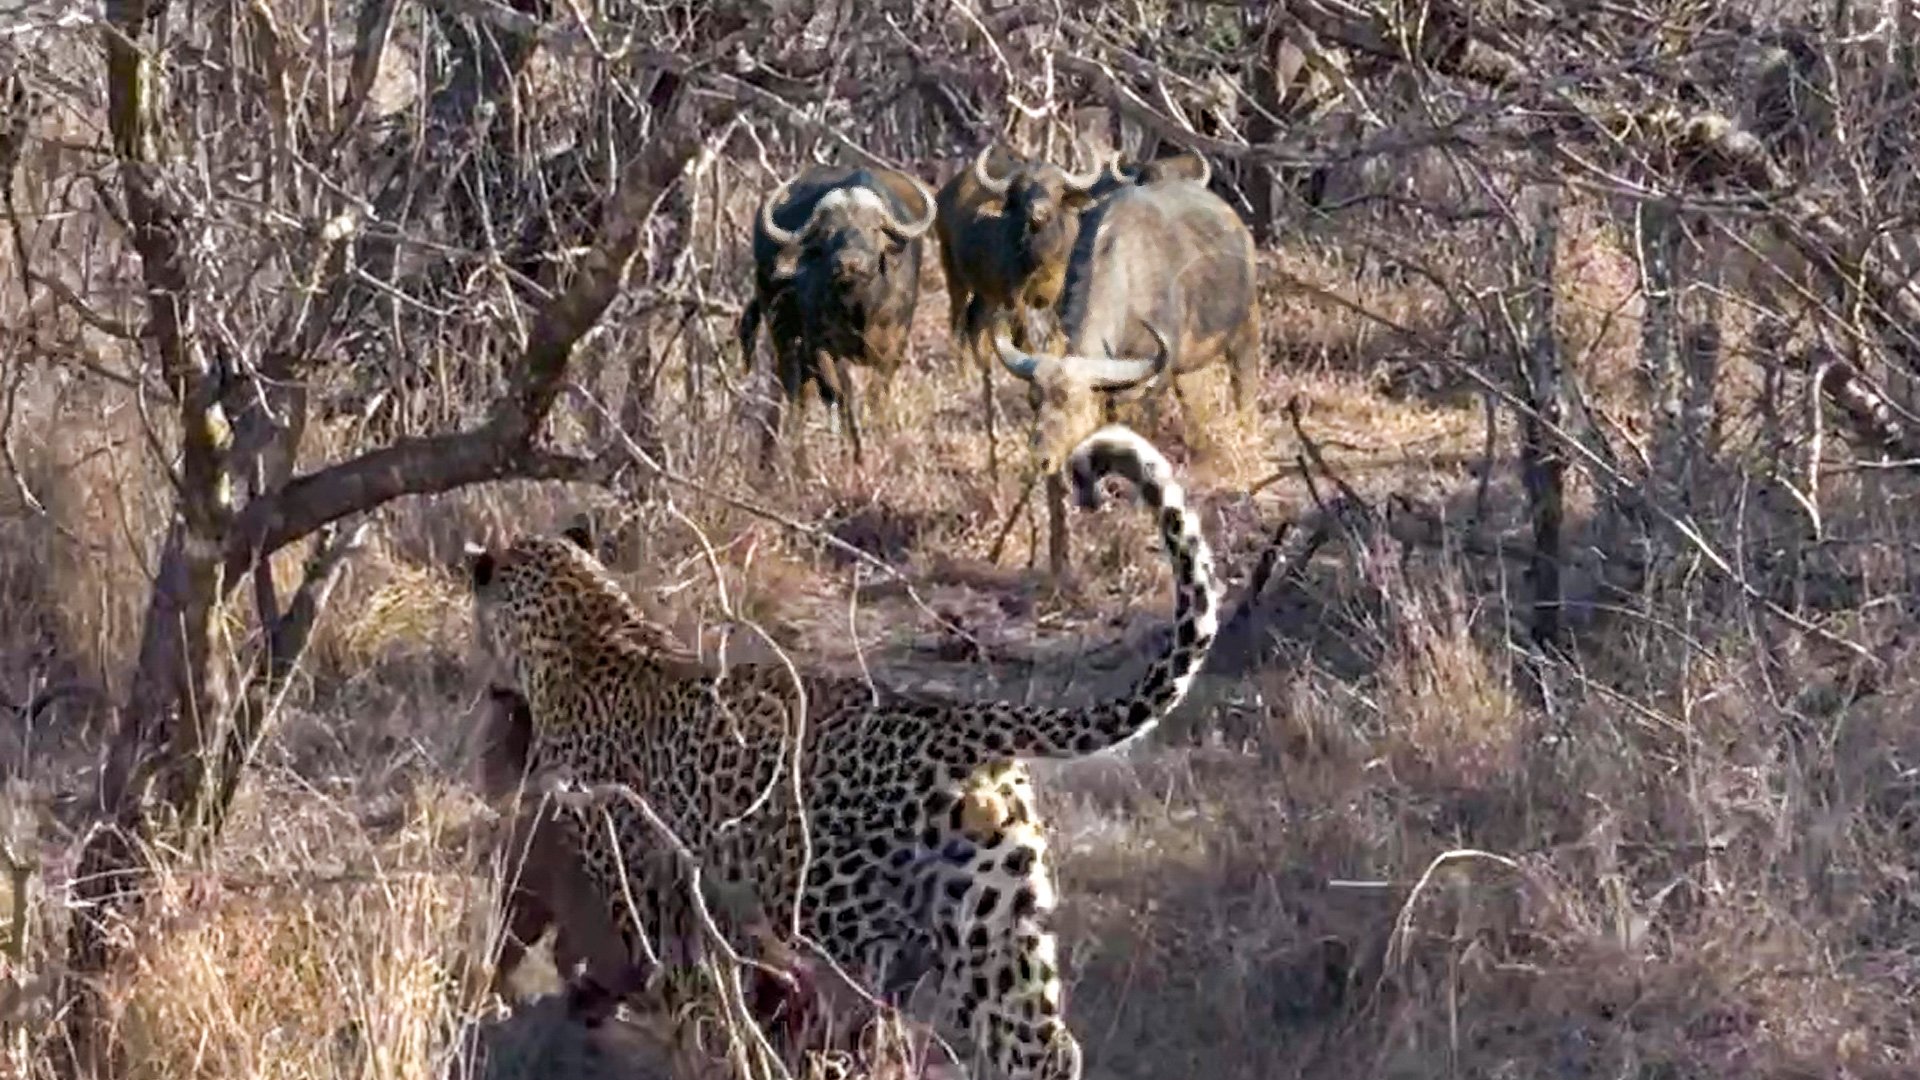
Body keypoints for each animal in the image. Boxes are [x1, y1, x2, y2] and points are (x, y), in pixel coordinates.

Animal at [464, 423, 1222, 1080]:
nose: (492, 692)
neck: (586, 627)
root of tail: (965, 722)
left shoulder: (637, 878)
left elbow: (669, 980)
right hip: (996, 919)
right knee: (1040, 1046)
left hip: (845, 906)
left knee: (879, 1007)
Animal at [739, 163, 938, 470]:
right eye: (827, 232)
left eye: (873, 228)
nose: (849, 264)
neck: (861, 308)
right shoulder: (820, 346)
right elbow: (840, 394)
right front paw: (853, 452)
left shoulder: (894, 346)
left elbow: (876, 395)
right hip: (782, 334)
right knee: (795, 392)